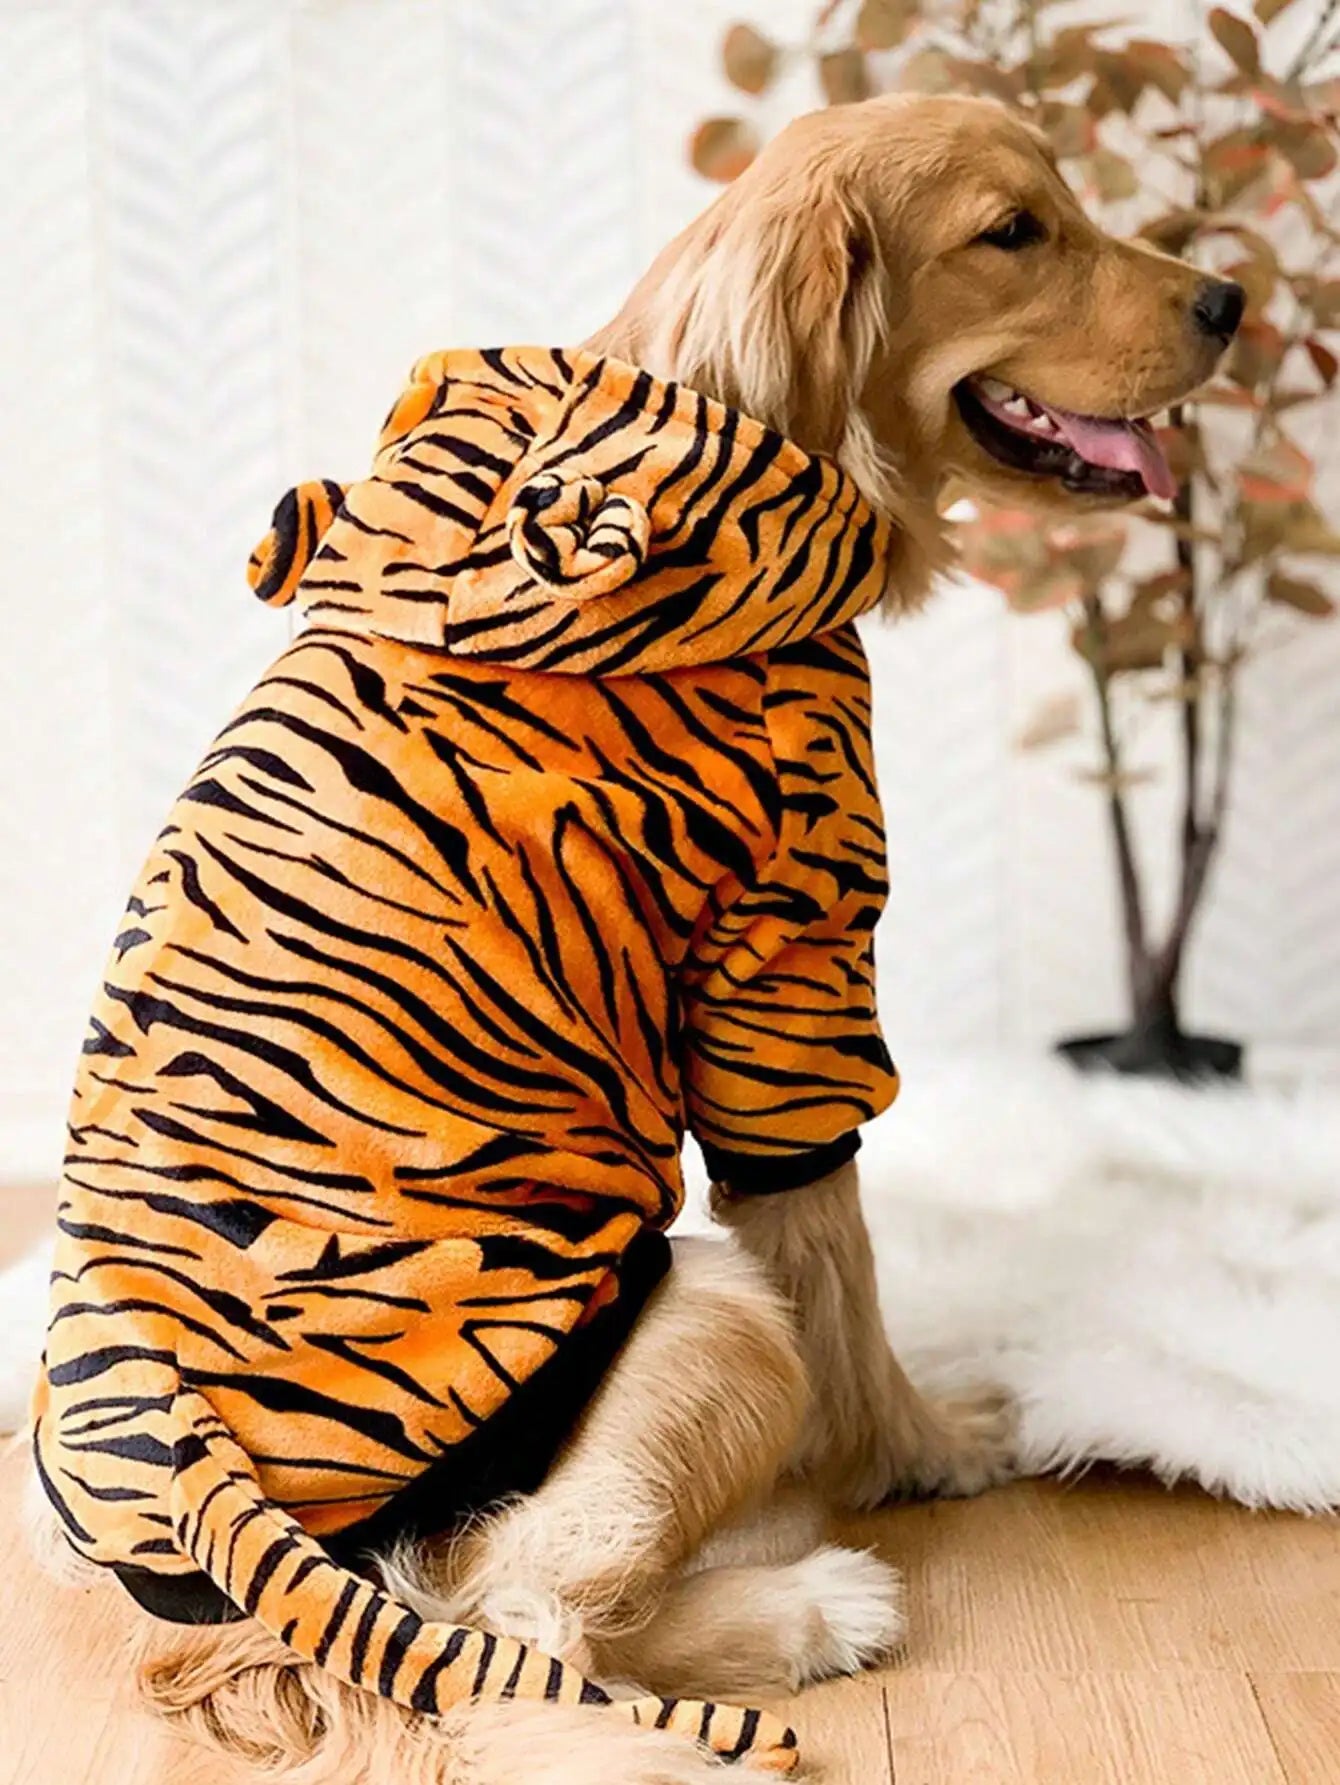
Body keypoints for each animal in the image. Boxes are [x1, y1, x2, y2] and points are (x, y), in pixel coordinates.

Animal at [32, 344, 902, 1774]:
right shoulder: (794, 925)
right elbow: (824, 1230)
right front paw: (924, 1449)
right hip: (704, 1329)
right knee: (515, 1618)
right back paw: (819, 1608)